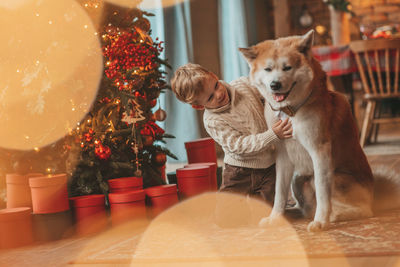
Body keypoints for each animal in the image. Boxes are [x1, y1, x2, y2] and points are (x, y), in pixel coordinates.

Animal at [239, 29, 398, 232]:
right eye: (268, 69)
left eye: (287, 67)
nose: (275, 84)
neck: (291, 112)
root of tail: (374, 196)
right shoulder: (283, 157)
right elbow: (279, 193)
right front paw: (275, 217)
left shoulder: (319, 151)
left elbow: (323, 193)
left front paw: (322, 221)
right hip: (297, 179)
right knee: (303, 207)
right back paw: (295, 213)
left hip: (329, 178)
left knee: (362, 210)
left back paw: (334, 216)